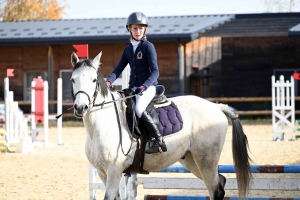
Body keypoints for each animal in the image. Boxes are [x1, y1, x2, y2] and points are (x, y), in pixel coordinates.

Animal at [69, 52, 251, 200]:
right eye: (73, 79)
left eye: (93, 80)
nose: (81, 107)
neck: (103, 122)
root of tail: (216, 107)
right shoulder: (102, 172)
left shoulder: (114, 170)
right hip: (192, 160)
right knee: (220, 182)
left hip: (206, 160)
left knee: (216, 189)